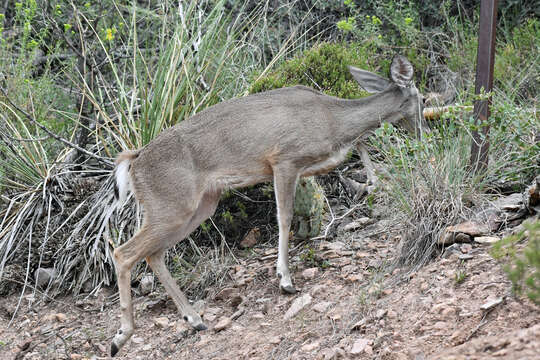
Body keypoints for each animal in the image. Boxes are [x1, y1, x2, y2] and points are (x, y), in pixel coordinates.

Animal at [110, 54, 430, 356]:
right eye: (424, 99)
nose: (424, 132)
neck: (331, 119)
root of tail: (134, 162)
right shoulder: (284, 158)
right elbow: (285, 217)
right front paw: (285, 279)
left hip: (199, 205)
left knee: (153, 254)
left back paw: (195, 320)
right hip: (172, 204)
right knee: (123, 253)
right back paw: (121, 337)